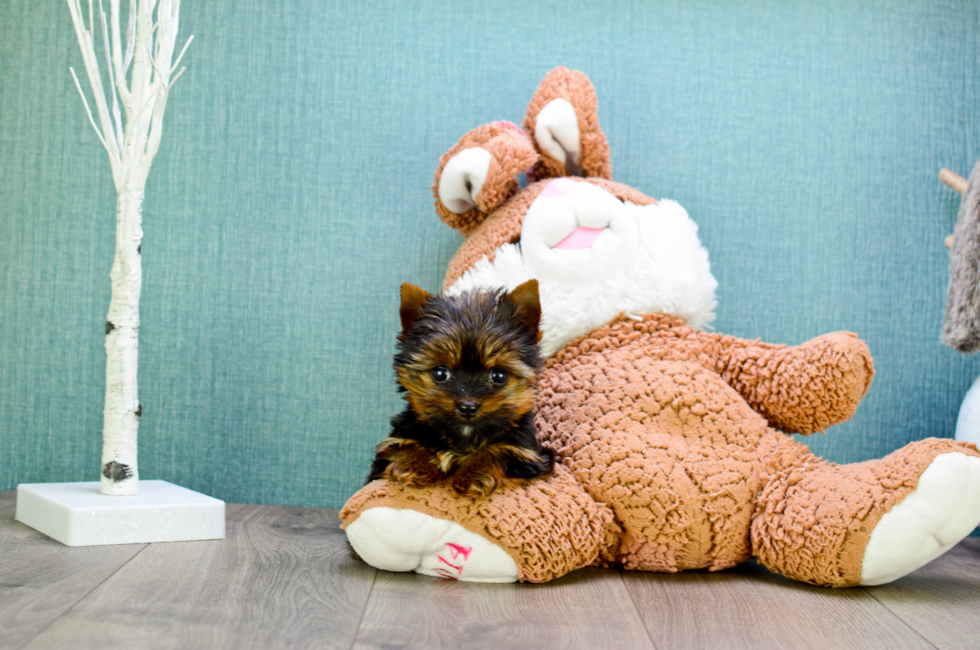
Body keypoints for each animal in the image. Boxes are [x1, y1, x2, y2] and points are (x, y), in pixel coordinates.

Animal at [366, 278, 556, 496]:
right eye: (440, 373)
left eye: (499, 376)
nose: (467, 407)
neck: (463, 439)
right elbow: (398, 445)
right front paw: (413, 464)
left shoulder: (528, 454)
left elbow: (502, 450)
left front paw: (475, 473)